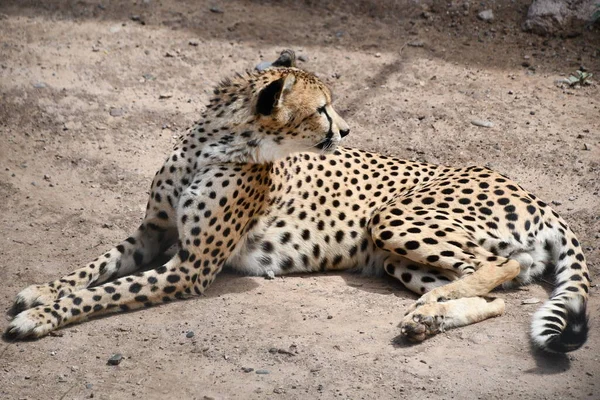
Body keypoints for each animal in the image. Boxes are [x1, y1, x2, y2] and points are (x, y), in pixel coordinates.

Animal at [5, 50, 592, 354]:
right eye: (323, 109)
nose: (347, 130)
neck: (213, 144)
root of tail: (536, 194)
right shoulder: (153, 231)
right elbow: (93, 267)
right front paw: (39, 292)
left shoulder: (189, 267)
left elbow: (104, 292)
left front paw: (41, 318)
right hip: (397, 259)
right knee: (497, 294)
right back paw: (425, 317)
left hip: (392, 219)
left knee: (498, 267)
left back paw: (429, 308)